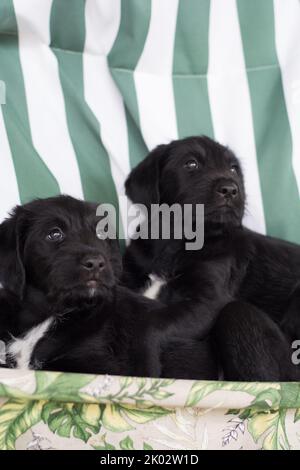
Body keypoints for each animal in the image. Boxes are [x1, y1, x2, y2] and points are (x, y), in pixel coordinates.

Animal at [123, 136, 300, 382]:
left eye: (233, 168)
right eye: (191, 164)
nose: (231, 189)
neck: (175, 244)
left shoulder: (209, 302)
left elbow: (151, 323)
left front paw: (144, 368)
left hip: (242, 316)